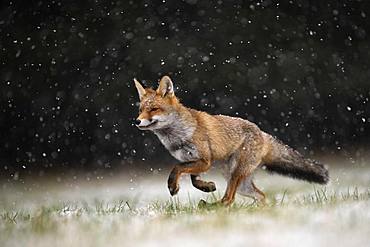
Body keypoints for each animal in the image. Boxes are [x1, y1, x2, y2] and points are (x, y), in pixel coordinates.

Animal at [134, 75, 330, 206]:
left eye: (153, 109)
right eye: (140, 110)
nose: (136, 121)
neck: (177, 136)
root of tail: (263, 133)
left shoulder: (205, 160)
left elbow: (177, 169)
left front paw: (173, 186)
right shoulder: (194, 160)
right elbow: (193, 179)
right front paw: (207, 186)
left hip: (236, 173)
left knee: (229, 199)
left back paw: (211, 207)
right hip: (238, 180)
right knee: (261, 196)